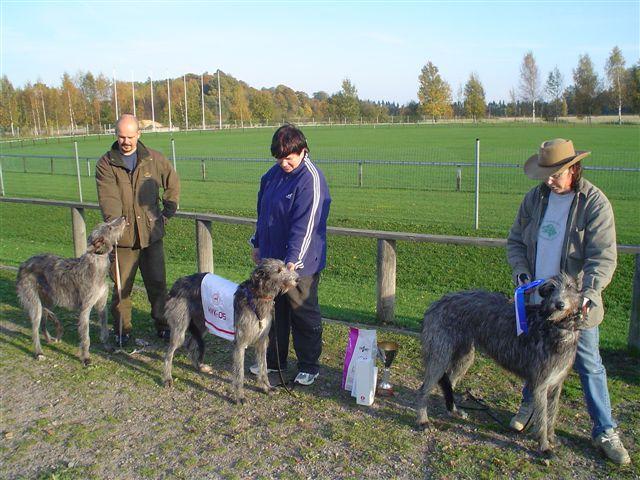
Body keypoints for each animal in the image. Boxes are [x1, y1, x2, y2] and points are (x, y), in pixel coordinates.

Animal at [15, 216, 126, 366]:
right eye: (109, 227)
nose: (124, 217)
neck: (97, 264)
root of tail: (23, 264)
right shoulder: (85, 308)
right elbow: (85, 336)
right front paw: (85, 357)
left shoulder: (102, 305)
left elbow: (104, 330)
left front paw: (107, 347)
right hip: (33, 301)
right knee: (35, 328)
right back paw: (39, 352)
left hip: (48, 300)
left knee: (43, 322)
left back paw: (49, 338)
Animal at [162, 260, 298, 404]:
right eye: (278, 270)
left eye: (285, 266)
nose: (298, 279)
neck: (257, 297)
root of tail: (177, 283)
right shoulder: (240, 343)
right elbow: (239, 373)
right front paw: (239, 396)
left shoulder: (261, 341)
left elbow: (263, 367)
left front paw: (267, 387)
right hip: (180, 326)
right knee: (169, 353)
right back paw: (167, 378)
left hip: (203, 323)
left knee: (190, 344)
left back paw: (199, 366)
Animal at [418, 274, 588, 458]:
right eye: (551, 289)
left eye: (570, 287)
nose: (559, 304)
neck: (557, 328)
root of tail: (436, 303)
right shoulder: (540, 384)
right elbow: (542, 418)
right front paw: (545, 447)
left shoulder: (557, 382)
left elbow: (552, 413)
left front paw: (551, 437)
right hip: (440, 355)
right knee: (424, 389)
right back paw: (423, 421)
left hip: (465, 357)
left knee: (449, 381)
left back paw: (454, 410)